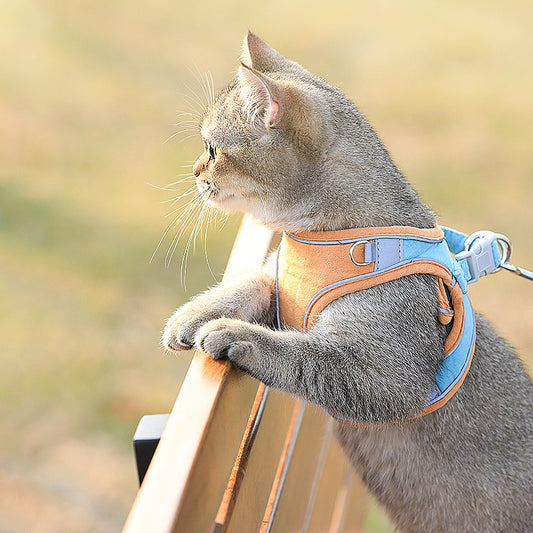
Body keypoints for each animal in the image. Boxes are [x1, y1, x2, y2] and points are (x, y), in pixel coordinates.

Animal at [163, 33, 532, 532]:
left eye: (213, 149)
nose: (195, 170)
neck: (328, 238)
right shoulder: (279, 279)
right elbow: (244, 285)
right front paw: (190, 316)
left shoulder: (384, 376)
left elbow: (299, 355)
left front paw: (233, 333)